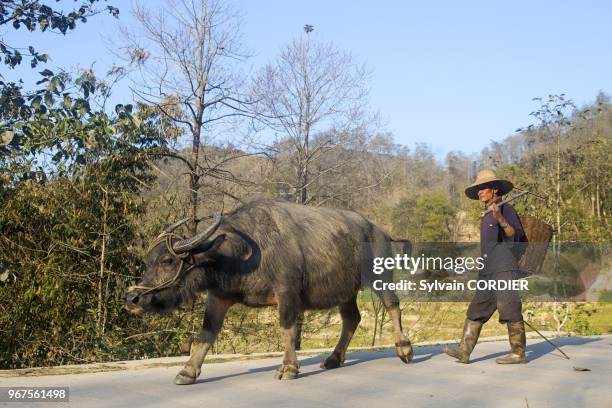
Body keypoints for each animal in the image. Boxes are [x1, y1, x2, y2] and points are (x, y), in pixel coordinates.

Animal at [125, 199, 414, 384]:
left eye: (167, 261)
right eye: (149, 260)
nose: (132, 298)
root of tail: (381, 232)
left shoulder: (287, 294)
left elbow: (287, 329)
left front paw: (288, 368)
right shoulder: (219, 297)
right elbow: (206, 333)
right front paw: (188, 372)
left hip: (379, 277)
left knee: (393, 305)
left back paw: (404, 349)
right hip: (346, 292)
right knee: (352, 319)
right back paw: (333, 359)